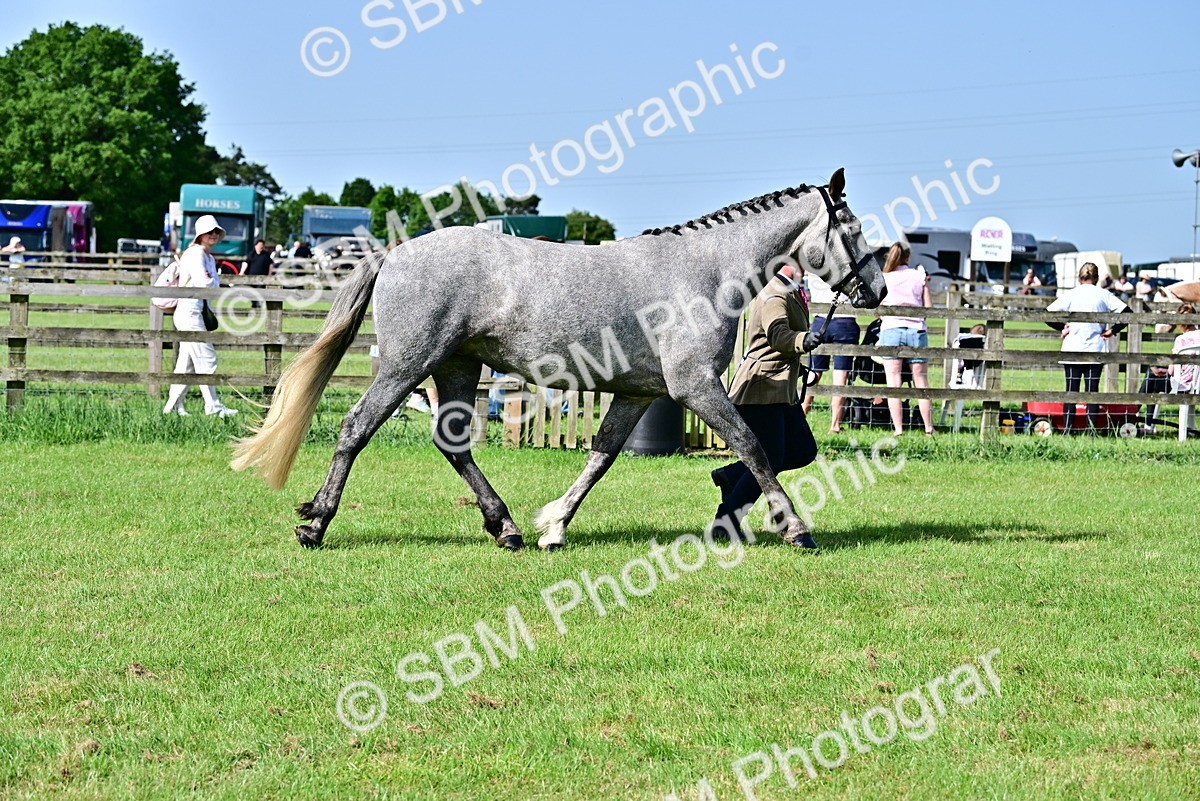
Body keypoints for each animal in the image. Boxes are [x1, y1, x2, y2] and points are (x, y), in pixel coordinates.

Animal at [230, 168, 886, 551]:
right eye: (854, 229)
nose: (877, 292)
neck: (704, 270)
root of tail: (394, 252)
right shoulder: (696, 387)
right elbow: (753, 448)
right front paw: (796, 527)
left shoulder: (640, 394)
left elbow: (601, 456)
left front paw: (554, 526)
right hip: (405, 366)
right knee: (355, 428)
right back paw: (315, 523)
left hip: (456, 366)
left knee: (454, 446)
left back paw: (507, 527)